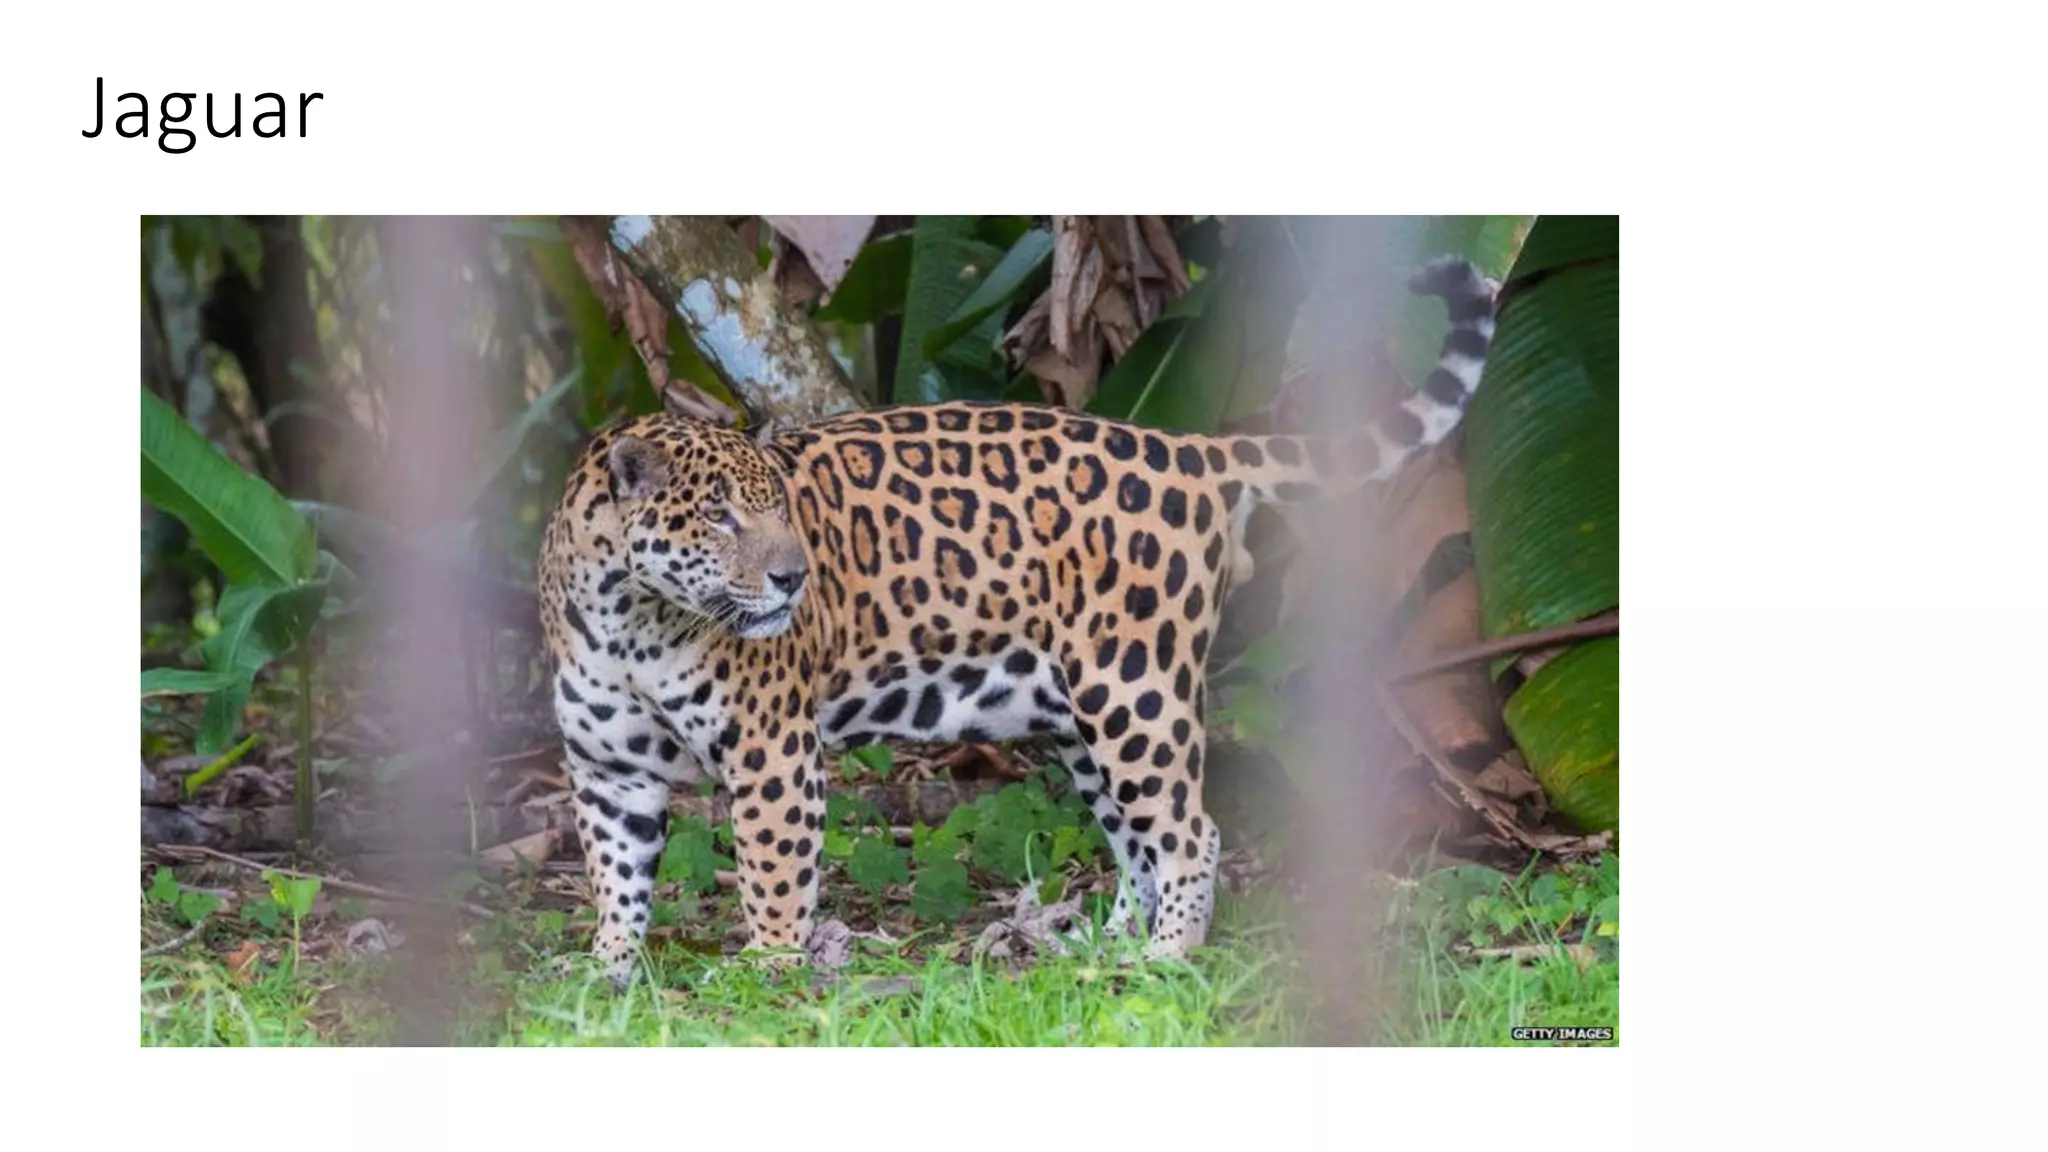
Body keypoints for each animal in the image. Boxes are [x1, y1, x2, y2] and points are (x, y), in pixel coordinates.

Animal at [538, 255, 1498, 986]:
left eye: (780, 512)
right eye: (721, 517)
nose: (793, 577)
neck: (633, 623)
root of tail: (1193, 451)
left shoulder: (772, 754)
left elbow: (773, 870)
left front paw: (769, 970)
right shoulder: (608, 772)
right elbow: (615, 876)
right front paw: (606, 970)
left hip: (1137, 691)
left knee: (1191, 832)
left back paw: (1167, 958)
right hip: (1081, 718)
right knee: (1135, 839)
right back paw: (1105, 948)